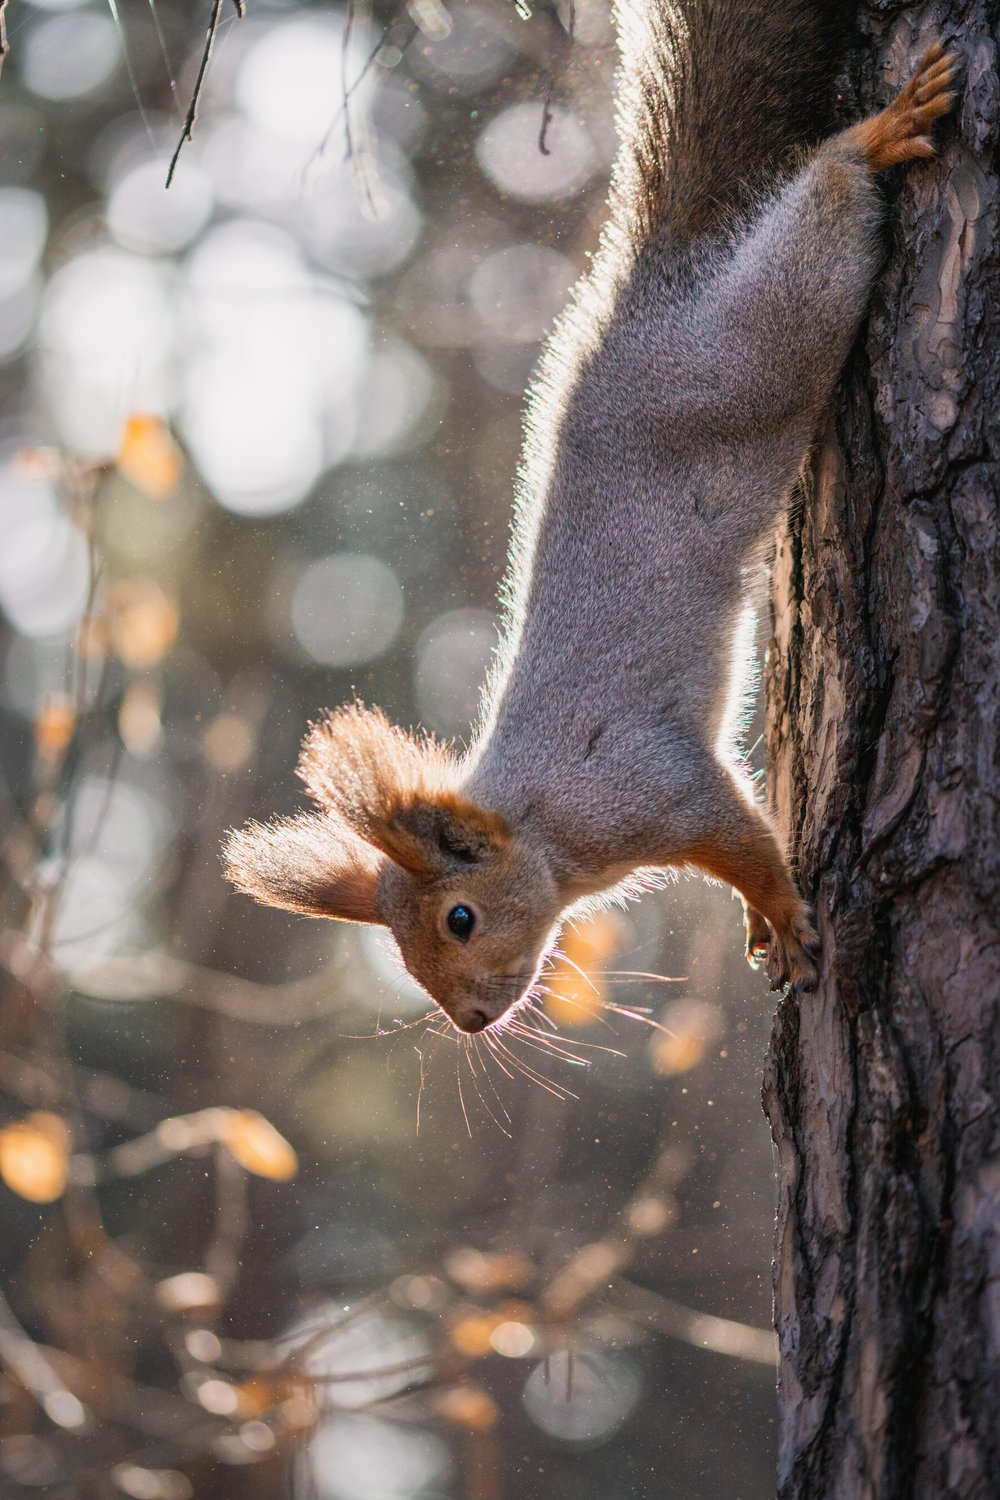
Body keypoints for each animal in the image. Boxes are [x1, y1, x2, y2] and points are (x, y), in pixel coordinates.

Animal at [223, 2, 959, 1032]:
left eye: (458, 919)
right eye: (400, 951)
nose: (470, 1022)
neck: (545, 824)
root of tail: (645, 292)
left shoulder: (650, 787)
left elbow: (743, 837)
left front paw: (779, 914)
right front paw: (764, 924)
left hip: (753, 350)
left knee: (820, 219)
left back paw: (876, 137)